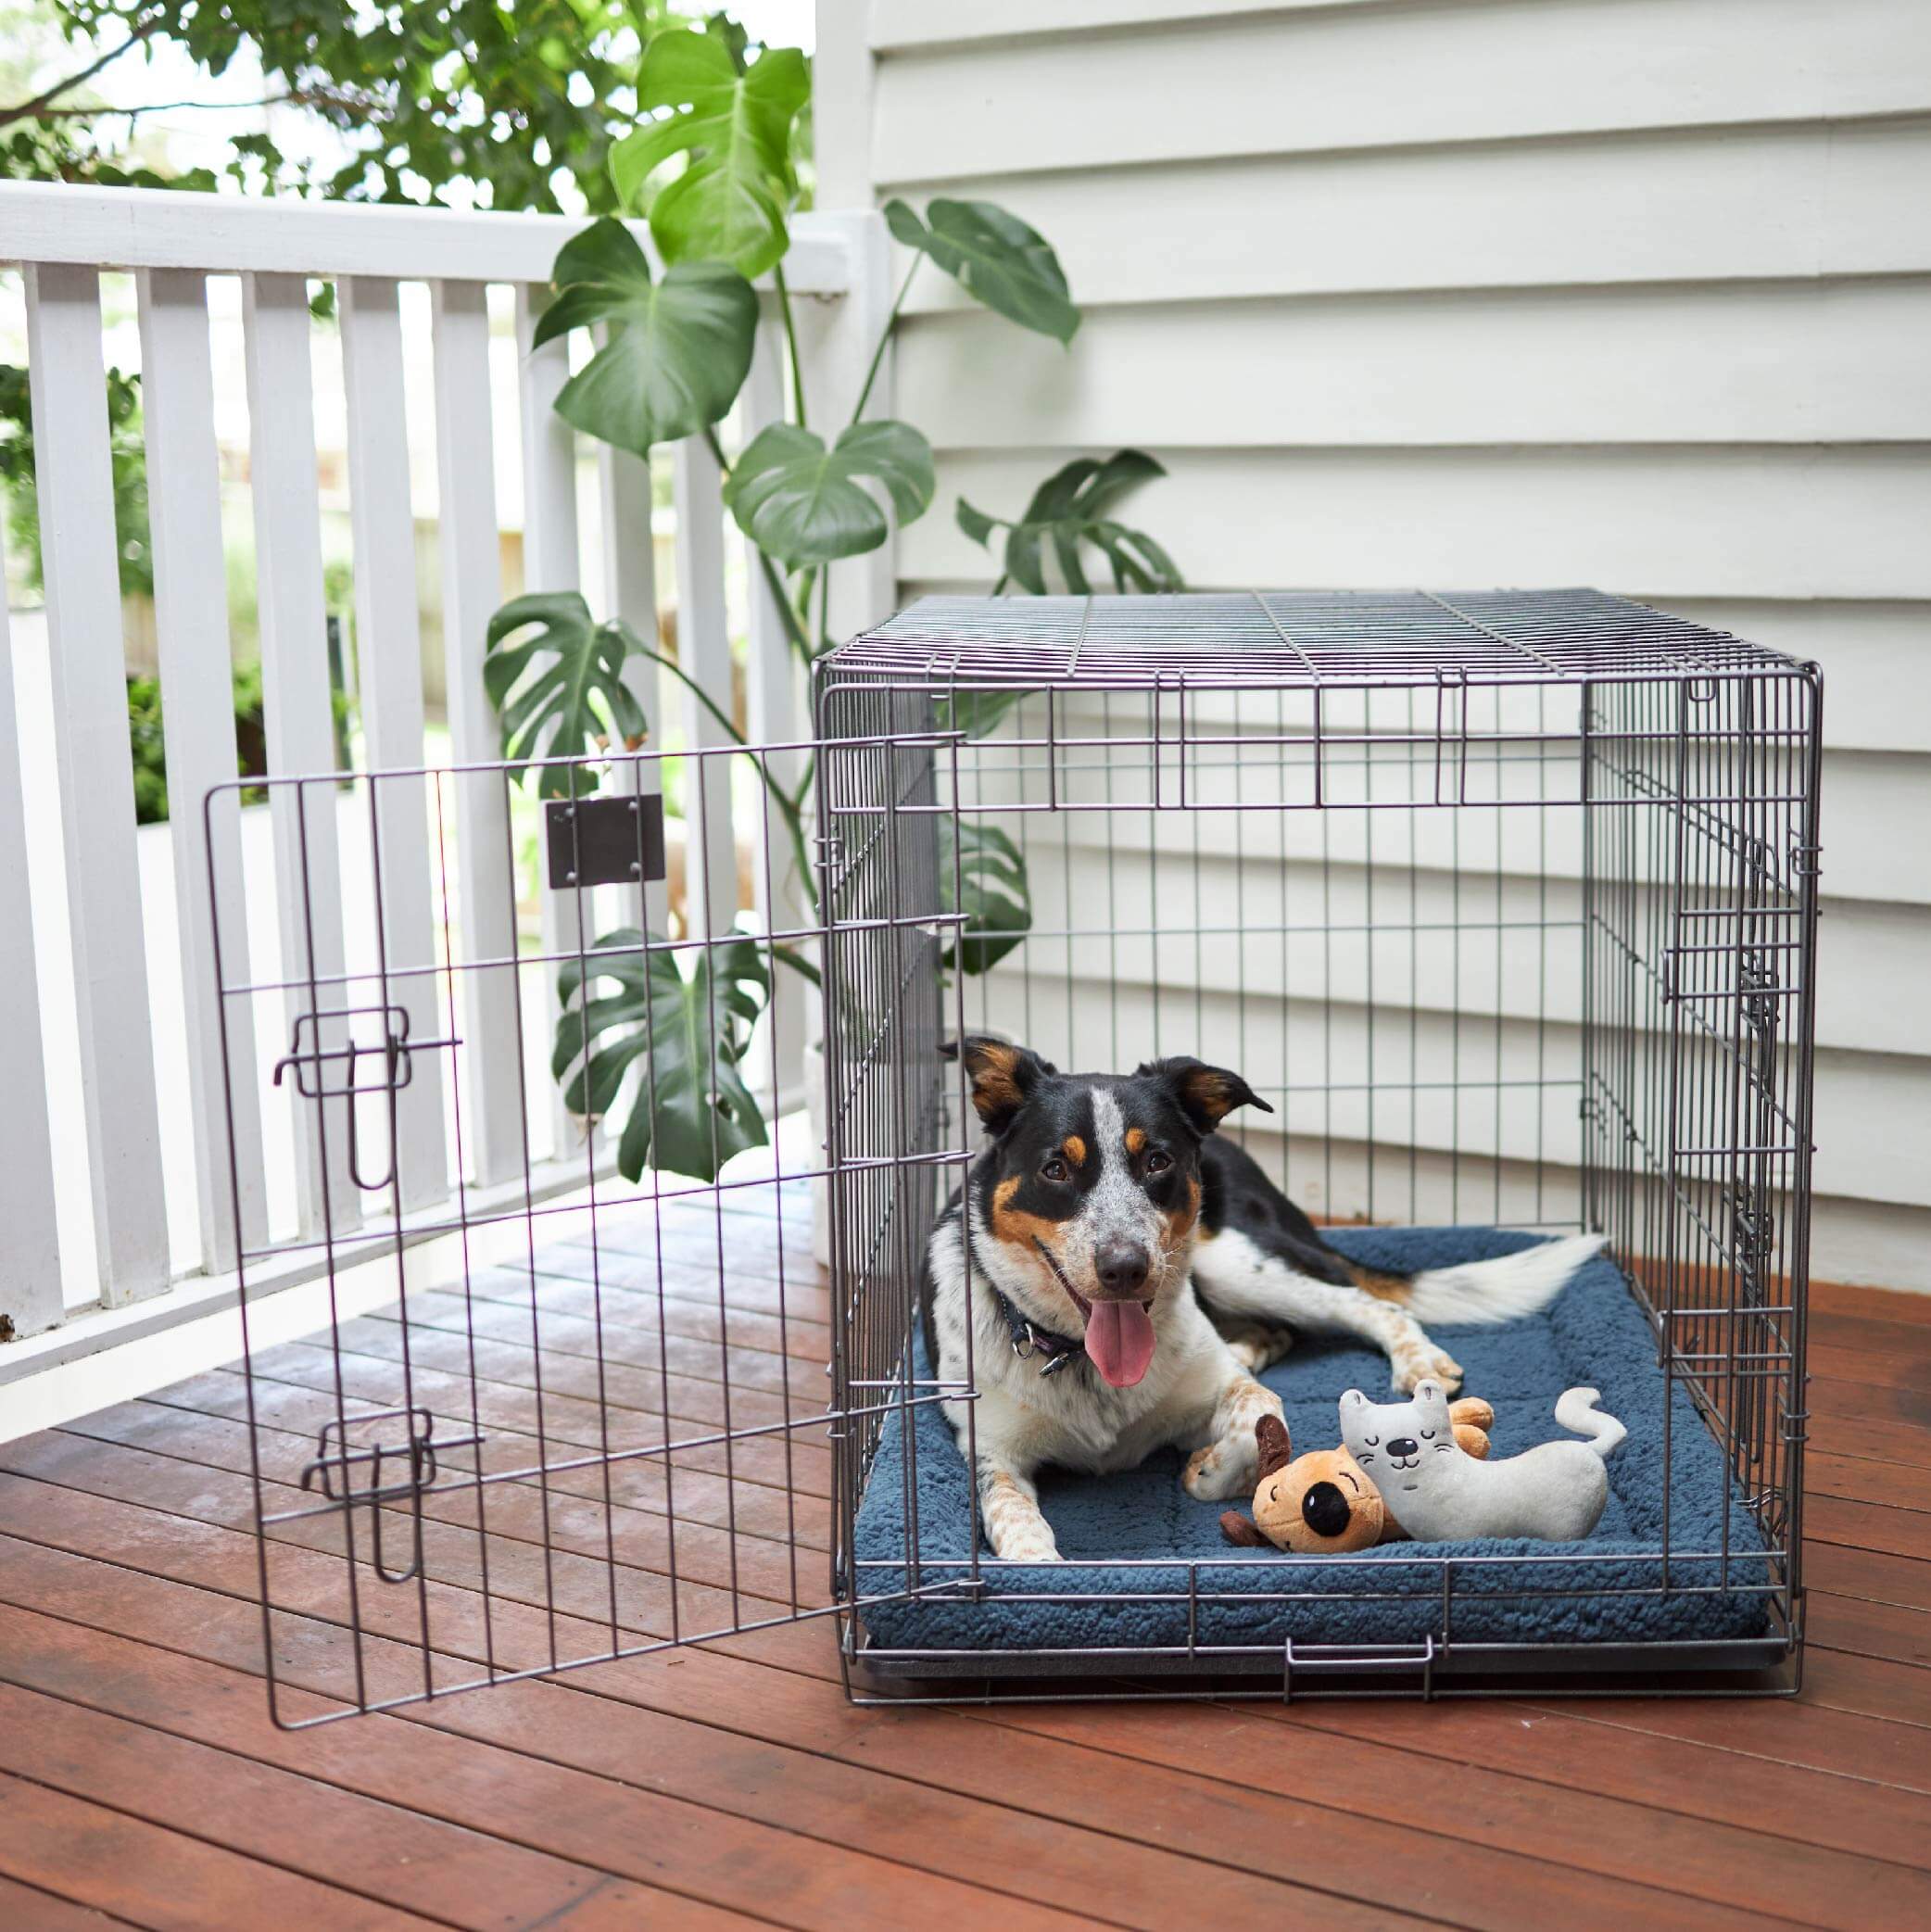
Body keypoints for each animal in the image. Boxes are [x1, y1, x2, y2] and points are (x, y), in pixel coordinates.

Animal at [927, 1035, 1606, 1560]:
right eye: (1055, 1170)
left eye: (1157, 1160)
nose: (1126, 1268)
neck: (1086, 1365)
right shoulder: (991, 1452)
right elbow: (1011, 1515)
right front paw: (1038, 1565)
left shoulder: (1227, 1389)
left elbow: (1258, 1418)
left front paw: (1207, 1472)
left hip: (1233, 1258)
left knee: (1368, 1303)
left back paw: (1416, 1361)